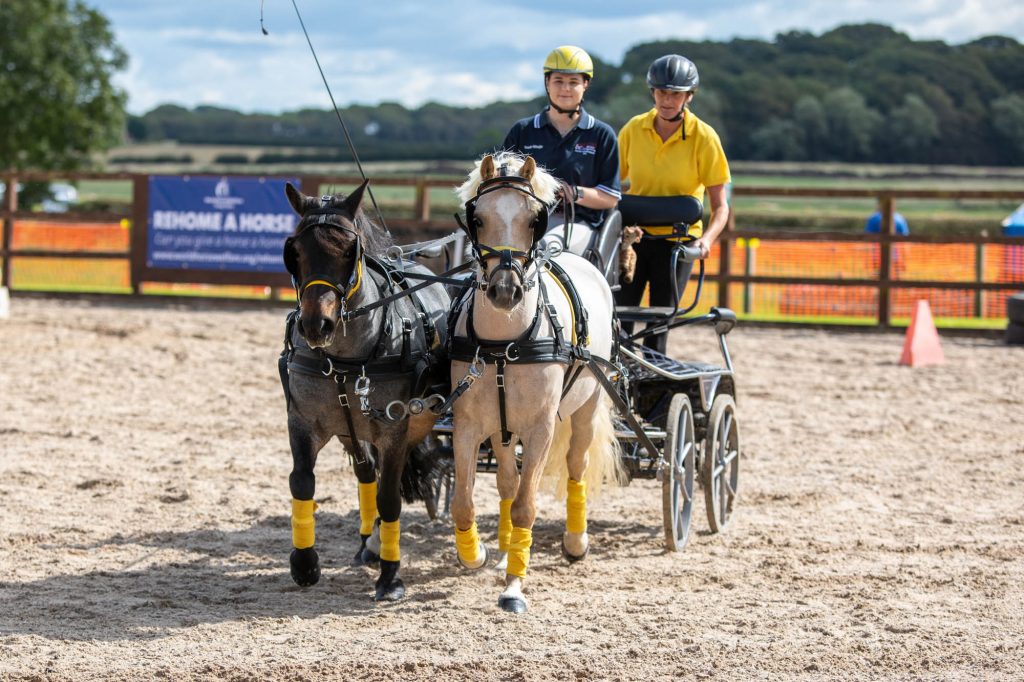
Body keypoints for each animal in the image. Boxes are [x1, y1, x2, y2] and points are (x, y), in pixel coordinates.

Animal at [278, 180, 450, 602]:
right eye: (295, 252)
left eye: (347, 251)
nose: (316, 325)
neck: (344, 359)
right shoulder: (302, 422)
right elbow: (302, 482)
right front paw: (305, 564)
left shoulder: (394, 430)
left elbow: (390, 499)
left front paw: (391, 578)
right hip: (350, 429)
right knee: (366, 473)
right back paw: (367, 545)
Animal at [446, 152, 618, 610]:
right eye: (478, 218)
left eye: (533, 219)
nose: (506, 292)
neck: (505, 343)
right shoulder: (469, 425)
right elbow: (463, 502)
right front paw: (476, 553)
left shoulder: (541, 429)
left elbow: (526, 505)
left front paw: (513, 586)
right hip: (504, 428)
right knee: (507, 479)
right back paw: (506, 545)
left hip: (587, 406)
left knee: (576, 465)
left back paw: (575, 542)